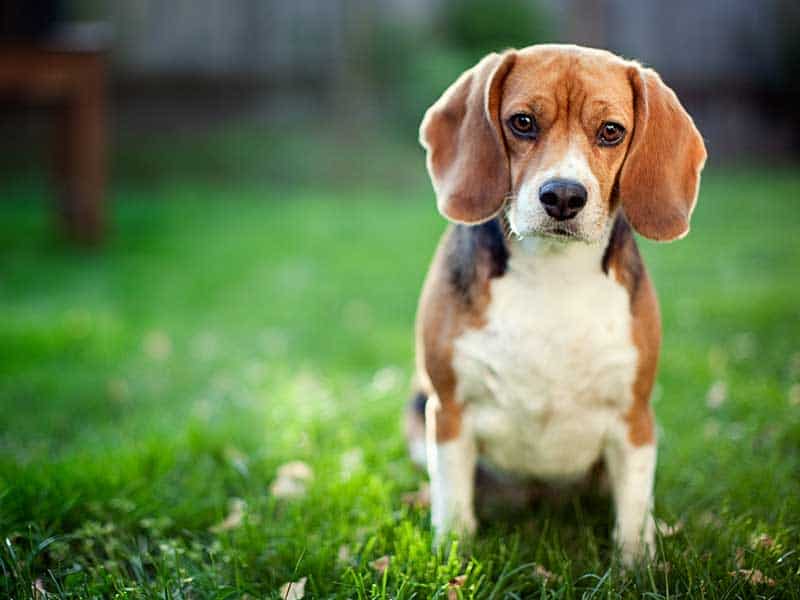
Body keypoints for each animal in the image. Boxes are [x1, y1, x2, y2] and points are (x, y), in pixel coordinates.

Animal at [406, 44, 708, 564]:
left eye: (611, 131)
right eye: (523, 122)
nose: (564, 195)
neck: (553, 272)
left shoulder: (634, 417)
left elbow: (633, 511)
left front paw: (638, 566)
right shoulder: (449, 412)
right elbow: (455, 507)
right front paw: (452, 559)